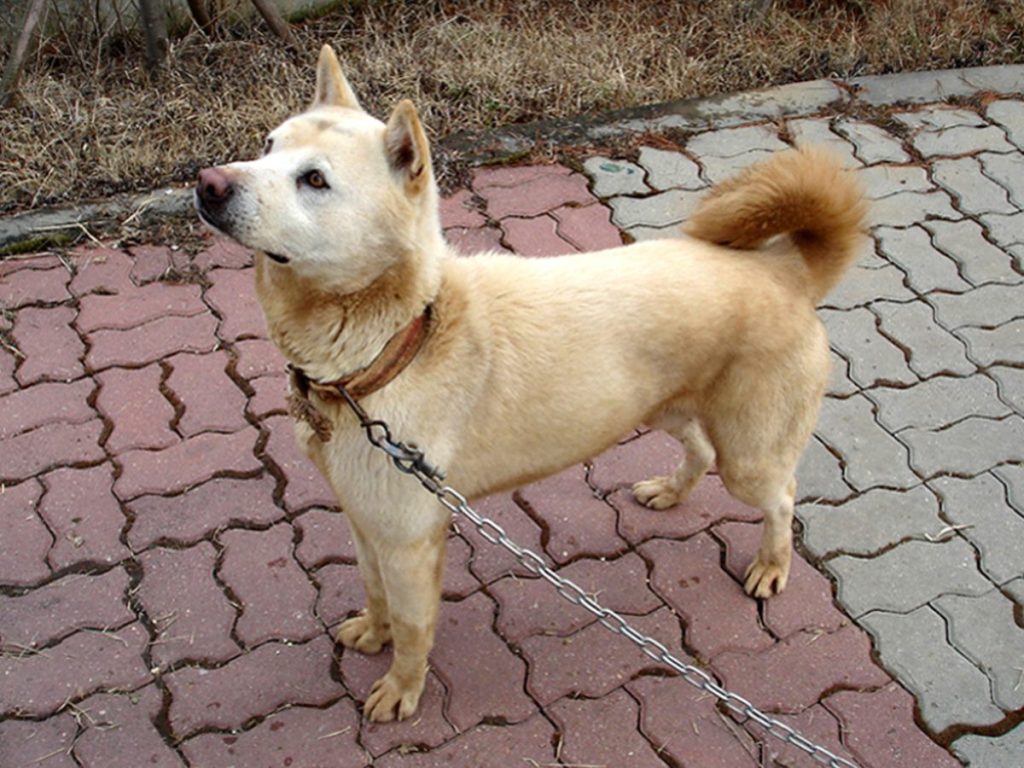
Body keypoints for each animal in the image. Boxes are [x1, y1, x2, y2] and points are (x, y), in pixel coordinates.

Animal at [195, 46, 868, 720]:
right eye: (267, 144)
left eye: (314, 180)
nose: (208, 183)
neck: (400, 341)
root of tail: (785, 270)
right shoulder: (364, 521)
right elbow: (374, 592)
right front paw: (373, 632)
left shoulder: (410, 541)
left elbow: (413, 630)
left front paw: (402, 689)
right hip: (664, 408)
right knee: (699, 450)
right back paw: (670, 493)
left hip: (749, 458)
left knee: (783, 497)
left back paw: (771, 564)